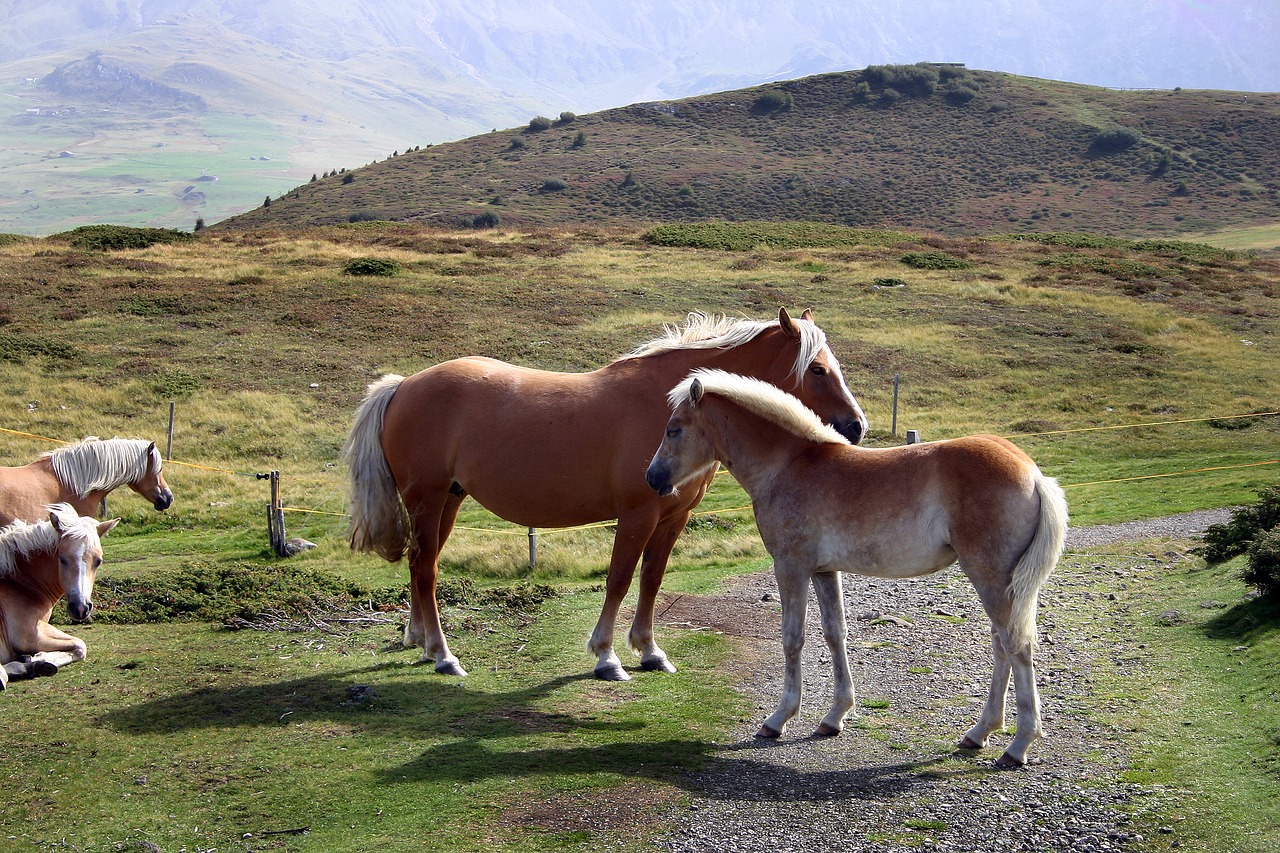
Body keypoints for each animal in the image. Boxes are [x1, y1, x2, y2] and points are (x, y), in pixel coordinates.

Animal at [0, 502, 119, 686]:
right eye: (62, 558)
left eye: (98, 561)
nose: (81, 608)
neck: (17, 583)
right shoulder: (29, 634)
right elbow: (80, 645)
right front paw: (39, 659)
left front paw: (34, 661)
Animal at [345, 306, 870, 676]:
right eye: (817, 369)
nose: (856, 427)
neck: (665, 405)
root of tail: (403, 385)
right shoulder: (636, 514)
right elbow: (619, 578)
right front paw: (606, 656)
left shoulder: (674, 516)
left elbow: (652, 578)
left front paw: (650, 651)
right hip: (428, 499)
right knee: (425, 568)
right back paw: (442, 654)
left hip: (448, 500)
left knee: (422, 564)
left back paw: (419, 641)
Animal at [640, 368, 1070, 768]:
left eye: (674, 429)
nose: (652, 478)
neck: (788, 465)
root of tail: (1033, 472)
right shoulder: (823, 571)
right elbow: (835, 634)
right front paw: (834, 717)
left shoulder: (791, 567)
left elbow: (792, 638)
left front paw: (779, 719)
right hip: (1000, 583)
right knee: (1001, 645)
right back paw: (980, 732)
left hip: (991, 577)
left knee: (1016, 645)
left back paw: (1018, 745)